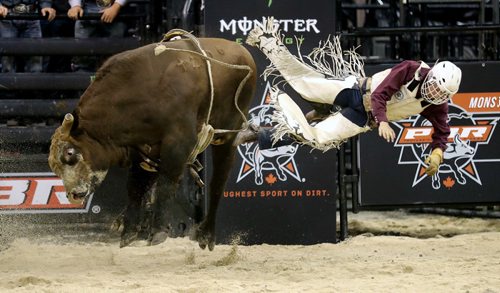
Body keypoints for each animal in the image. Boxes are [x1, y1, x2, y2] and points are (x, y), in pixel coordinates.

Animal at [47, 31, 258, 249]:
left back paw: (206, 234)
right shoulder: (143, 149)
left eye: (70, 153)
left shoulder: (178, 143)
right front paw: (129, 233)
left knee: (218, 181)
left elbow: (165, 185)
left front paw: (158, 233)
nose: (72, 195)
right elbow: (136, 187)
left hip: (227, 136)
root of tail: (242, 51)